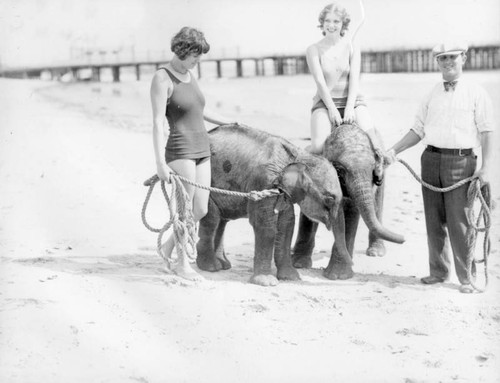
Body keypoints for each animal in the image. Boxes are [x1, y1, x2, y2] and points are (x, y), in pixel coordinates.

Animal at [195, 124, 348, 286]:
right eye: (329, 199)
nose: (327, 274)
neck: (298, 155)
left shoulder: (283, 191)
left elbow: (287, 224)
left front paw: (290, 278)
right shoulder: (264, 183)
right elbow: (265, 225)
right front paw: (267, 282)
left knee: (222, 220)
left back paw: (223, 265)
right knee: (212, 219)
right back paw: (211, 267)